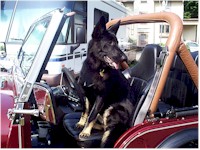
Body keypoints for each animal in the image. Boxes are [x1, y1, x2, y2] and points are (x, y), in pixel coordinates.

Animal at [76, 16, 134, 148]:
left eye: (117, 43)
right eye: (110, 43)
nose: (125, 59)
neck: (95, 68)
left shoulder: (100, 97)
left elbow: (91, 115)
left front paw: (86, 131)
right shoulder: (86, 94)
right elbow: (85, 110)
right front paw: (82, 123)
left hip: (112, 108)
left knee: (107, 129)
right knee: (102, 125)